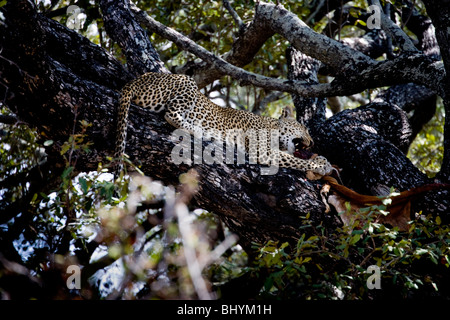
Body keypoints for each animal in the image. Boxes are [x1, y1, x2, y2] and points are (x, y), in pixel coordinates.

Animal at [115, 71, 334, 179]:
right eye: (304, 129)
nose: (312, 143)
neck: (272, 125)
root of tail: (135, 81)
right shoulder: (261, 150)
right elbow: (295, 160)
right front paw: (322, 165)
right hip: (186, 82)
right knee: (171, 115)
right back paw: (200, 130)